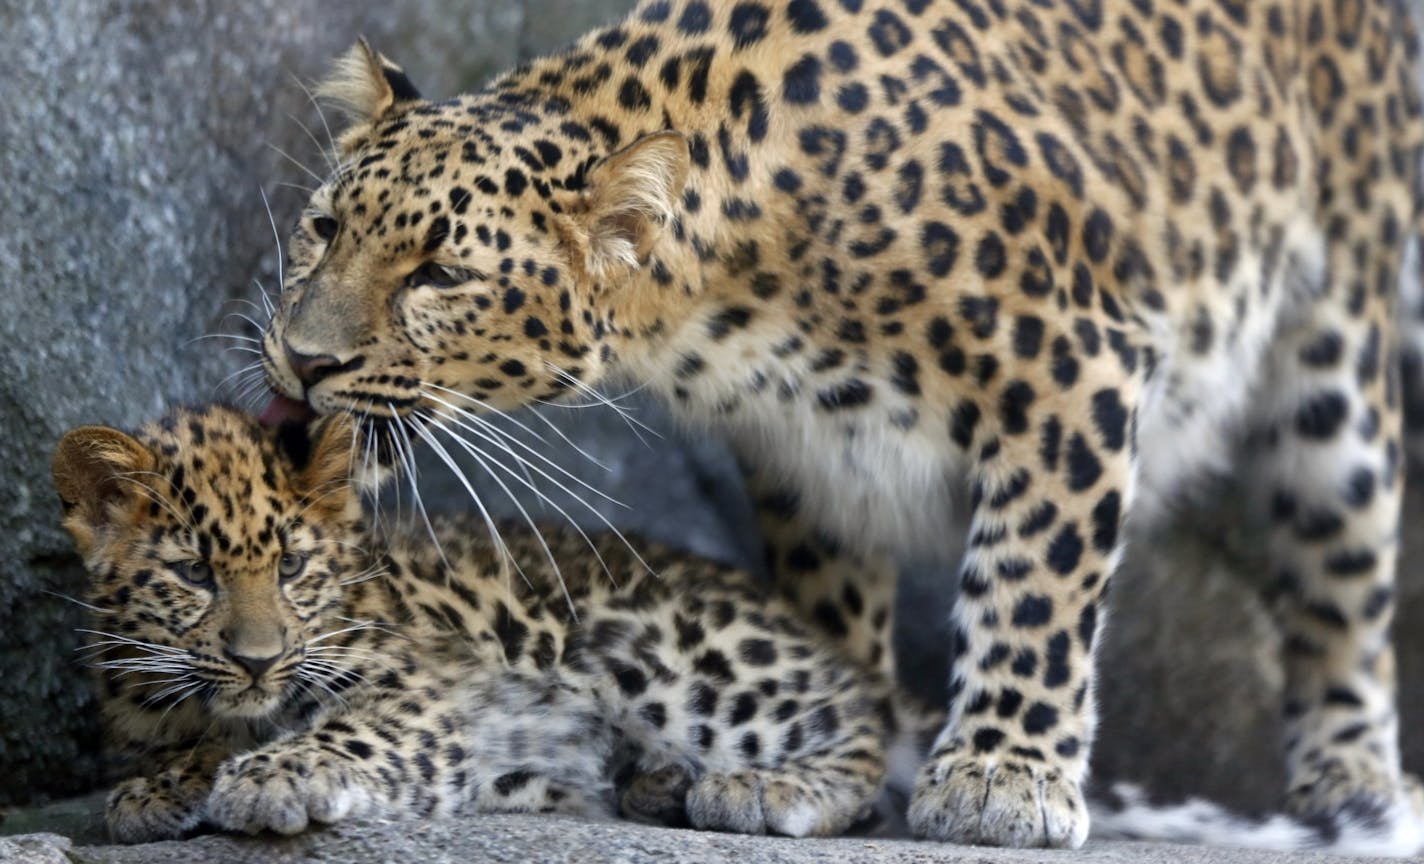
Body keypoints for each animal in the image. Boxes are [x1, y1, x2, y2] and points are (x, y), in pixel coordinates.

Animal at [259, 0, 1424, 854]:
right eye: (324, 229)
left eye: (438, 275)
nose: (303, 360)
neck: (722, 307)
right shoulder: (810, 452)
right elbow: (832, 626)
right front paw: (822, 770)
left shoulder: (1073, 367)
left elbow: (1034, 586)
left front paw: (1001, 777)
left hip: (1334, 370)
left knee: (1344, 586)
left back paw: (1352, 786)